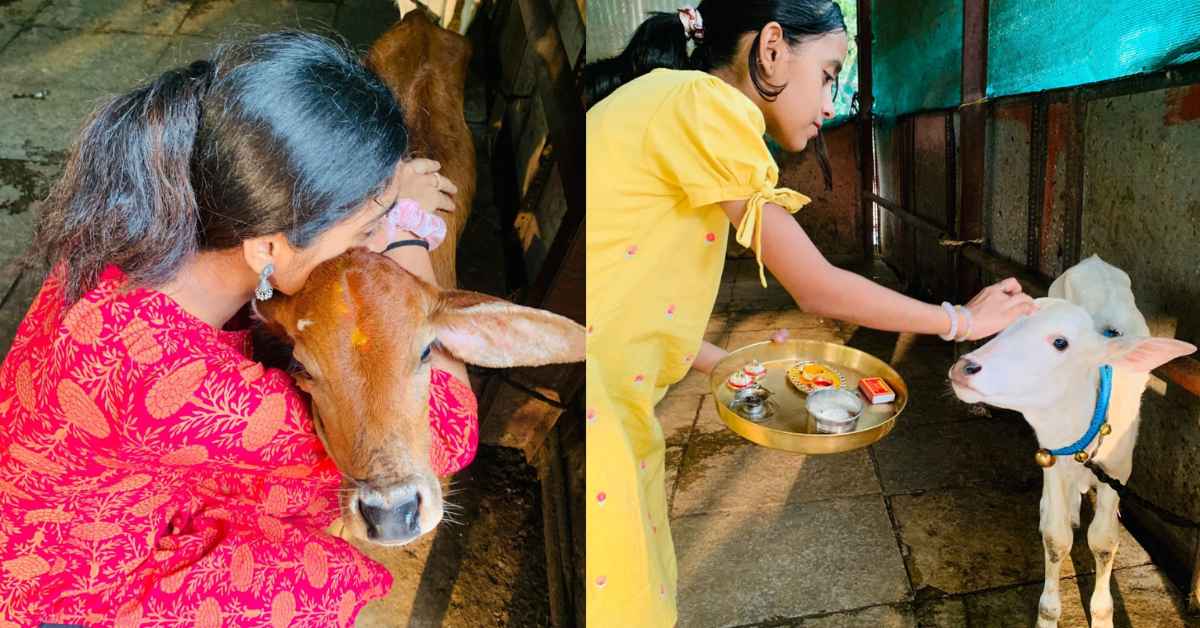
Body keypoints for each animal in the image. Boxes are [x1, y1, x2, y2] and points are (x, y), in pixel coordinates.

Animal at [950, 296, 1195, 628]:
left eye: (1060, 343)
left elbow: (1104, 542)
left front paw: (1102, 616)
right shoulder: (1055, 454)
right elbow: (1056, 539)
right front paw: (1048, 616)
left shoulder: (1118, 471)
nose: (965, 367)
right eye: (1006, 325)